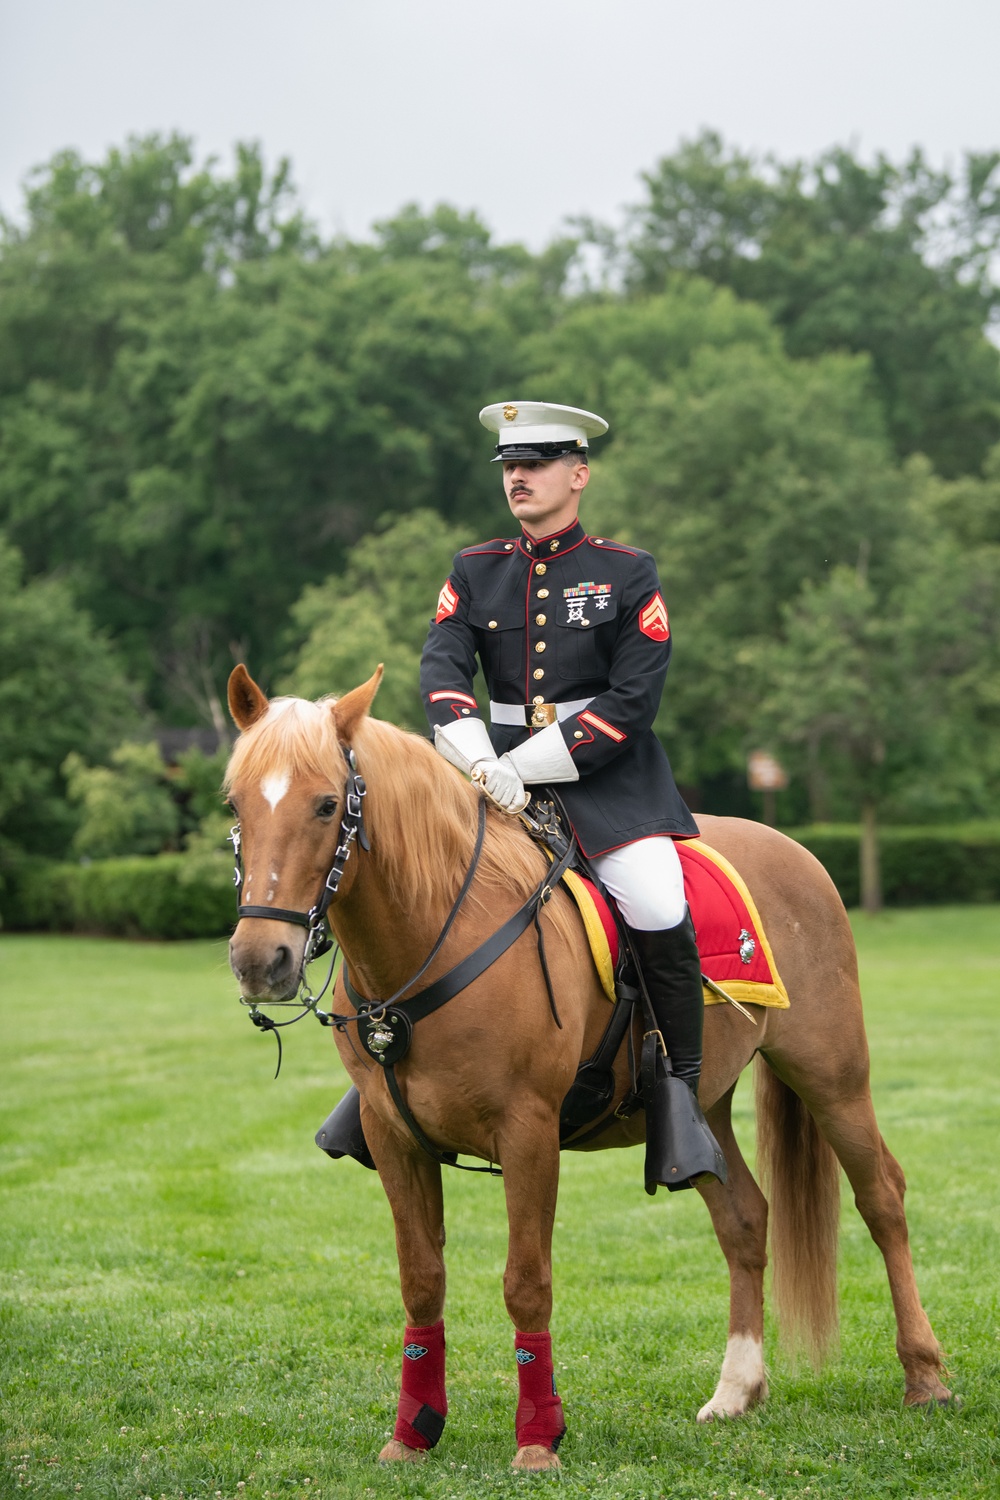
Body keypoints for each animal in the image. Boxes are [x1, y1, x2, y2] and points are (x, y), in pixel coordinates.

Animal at [223, 666, 953, 1464]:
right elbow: (420, 1280)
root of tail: (795, 851)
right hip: (702, 1106)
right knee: (745, 1218)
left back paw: (925, 1375)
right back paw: (738, 1388)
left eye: (328, 804)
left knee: (882, 1198)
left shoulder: (529, 1131)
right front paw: (412, 1431)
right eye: (234, 803)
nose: (262, 961)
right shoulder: (394, 1138)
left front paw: (538, 1437)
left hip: (832, 1074)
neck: (441, 932)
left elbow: (526, 1281)